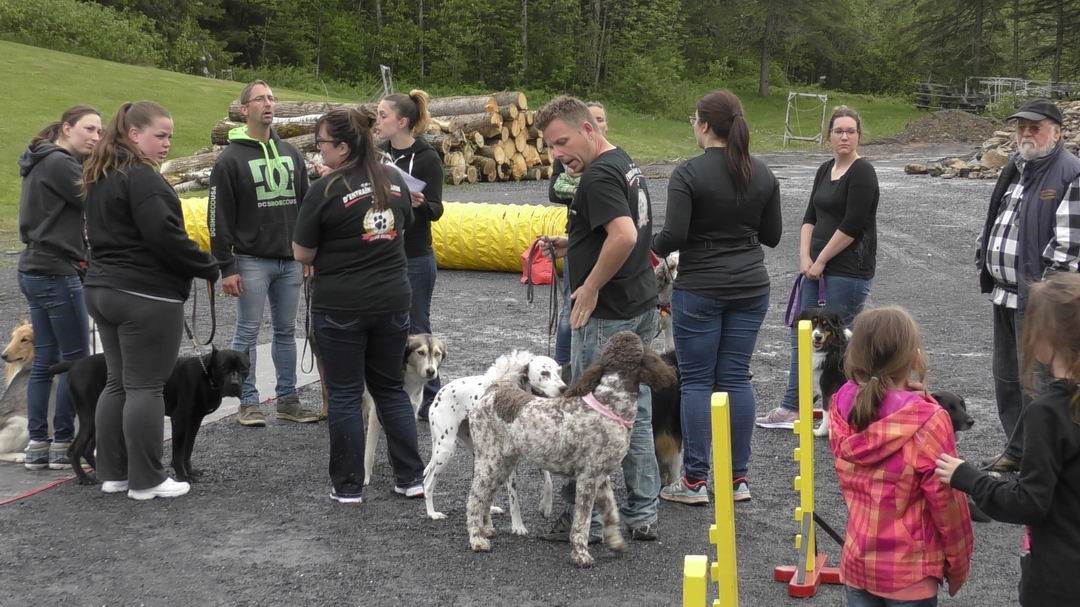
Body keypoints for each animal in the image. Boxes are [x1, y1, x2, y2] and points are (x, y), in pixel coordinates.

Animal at [55, 348, 249, 484]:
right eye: (223, 367)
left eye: (243, 368)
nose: (234, 383)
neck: (206, 375)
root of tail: (75, 364)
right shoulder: (180, 420)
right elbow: (178, 452)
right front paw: (183, 475)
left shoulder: (195, 421)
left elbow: (188, 449)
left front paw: (190, 471)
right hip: (90, 417)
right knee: (75, 450)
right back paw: (85, 478)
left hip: (101, 418)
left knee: (88, 449)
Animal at [362, 333, 446, 486]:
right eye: (420, 352)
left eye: (437, 354)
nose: (431, 371)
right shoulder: (376, 417)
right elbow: (369, 452)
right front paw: (365, 476)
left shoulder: (409, 411)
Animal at [422, 350, 566, 527]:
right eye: (544, 373)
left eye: (559, 372)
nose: (563, 388)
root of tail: (439, 394)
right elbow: (514, 499)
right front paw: (518, 526)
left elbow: (549, 482)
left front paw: (546, 506)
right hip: (445, 450)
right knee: (427, 483)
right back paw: (432, 513)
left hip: (481, 453)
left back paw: (490, 509)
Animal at [466, 331, 676, 568]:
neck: (610, 403)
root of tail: (495, 387)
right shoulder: (588, 478)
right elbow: (582, 522)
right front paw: (581, 554)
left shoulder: (602, 477)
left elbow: (611, 512)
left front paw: (615, 542)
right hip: (490, 460)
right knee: (474, 499)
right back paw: (477, 539)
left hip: (503, 463)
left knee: (485, 496)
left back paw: (486, 529)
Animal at [796, 308, 850, 438]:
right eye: (813, 322)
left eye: (827, 326)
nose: (818, 337)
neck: (829, 350)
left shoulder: (828, 387)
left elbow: (826, 411)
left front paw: (821, 431)